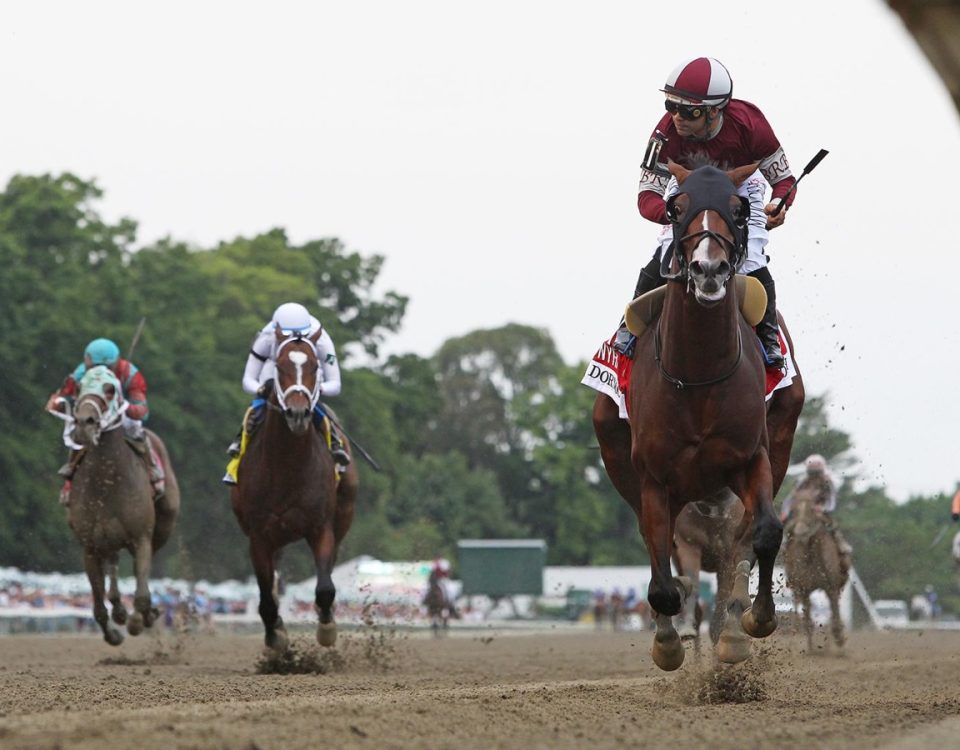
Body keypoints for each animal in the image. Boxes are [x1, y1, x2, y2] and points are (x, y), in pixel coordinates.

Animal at [53, 366, 180, 648]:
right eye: (79, 387)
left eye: (110, 390)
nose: (84, 423)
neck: (107, 481)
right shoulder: (89, 546)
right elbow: (98, 603)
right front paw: (112, 633)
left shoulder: (141, 537)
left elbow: (142, 593)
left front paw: (139, 619)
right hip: (107, 541)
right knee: (111, 567)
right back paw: (120, 610)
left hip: (163, 525)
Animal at [231, 328, 358, 652]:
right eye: (278, 366)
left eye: (314, 366)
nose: (298, 413)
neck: (287, 466)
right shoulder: (258, 534)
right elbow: (265, 597)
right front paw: (275, 633)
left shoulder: (320, 527)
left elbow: (325, 587)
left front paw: (327, 629)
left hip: (343, 514)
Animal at [596, 162, 800, 672]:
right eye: (676, 207)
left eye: (739, 207)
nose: (709, 269)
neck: (698, 375)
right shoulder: (654, 478)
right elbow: (663, 573)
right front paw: (670, 640)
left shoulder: (751, 458)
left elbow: (764, 534)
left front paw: (754, 619)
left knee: (741, 547)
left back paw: (733, 628)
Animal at [788, 488, 848, 652]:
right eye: (794, 510)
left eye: (811, 510)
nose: (800, 531)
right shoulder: (804, 589)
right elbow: (808, 619)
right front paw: (810, 648)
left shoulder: (831, 587)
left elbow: (835, 615)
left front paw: (840, 641)